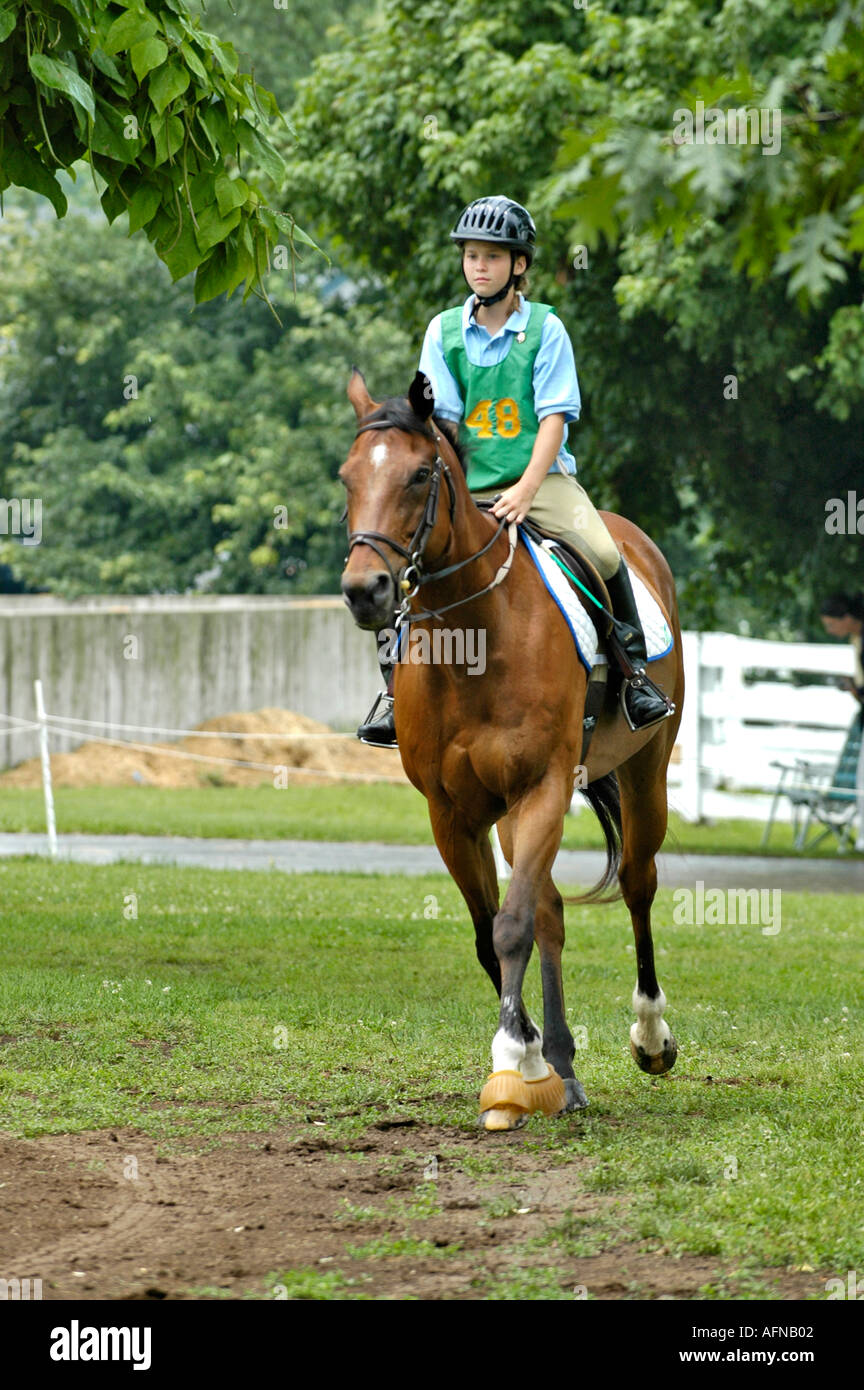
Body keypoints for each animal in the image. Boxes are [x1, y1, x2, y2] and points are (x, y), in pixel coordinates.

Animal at [339, 368, 684, 1130]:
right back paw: (563, 1066)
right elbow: (490, 931)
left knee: (637, 883)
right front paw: (528, 1061)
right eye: (346, 477)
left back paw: (650, 1036)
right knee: (552, 910)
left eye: (418, 475)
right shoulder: (454, 812)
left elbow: (512, 927)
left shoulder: (542, 787)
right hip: (508, 815)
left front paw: (508, 1064)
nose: (364, 590)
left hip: (643, 773)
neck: (476, 637)